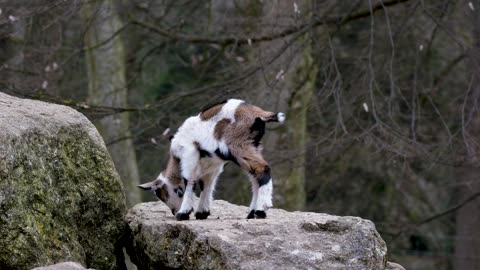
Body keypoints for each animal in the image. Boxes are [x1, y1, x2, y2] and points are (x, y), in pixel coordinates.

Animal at [137, 98, 284, 220]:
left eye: (165, 194)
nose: (174, 212)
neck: (176, 156)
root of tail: (258, 113)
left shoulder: (189, 156)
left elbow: (190, 181)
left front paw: (183, 213)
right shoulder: (212, 166)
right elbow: (207, 184)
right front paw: (202, 212)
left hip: (238, 146)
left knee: (262, 169)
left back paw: (261, 210)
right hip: (253, 146)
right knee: (255, 177)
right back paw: (252, 213)